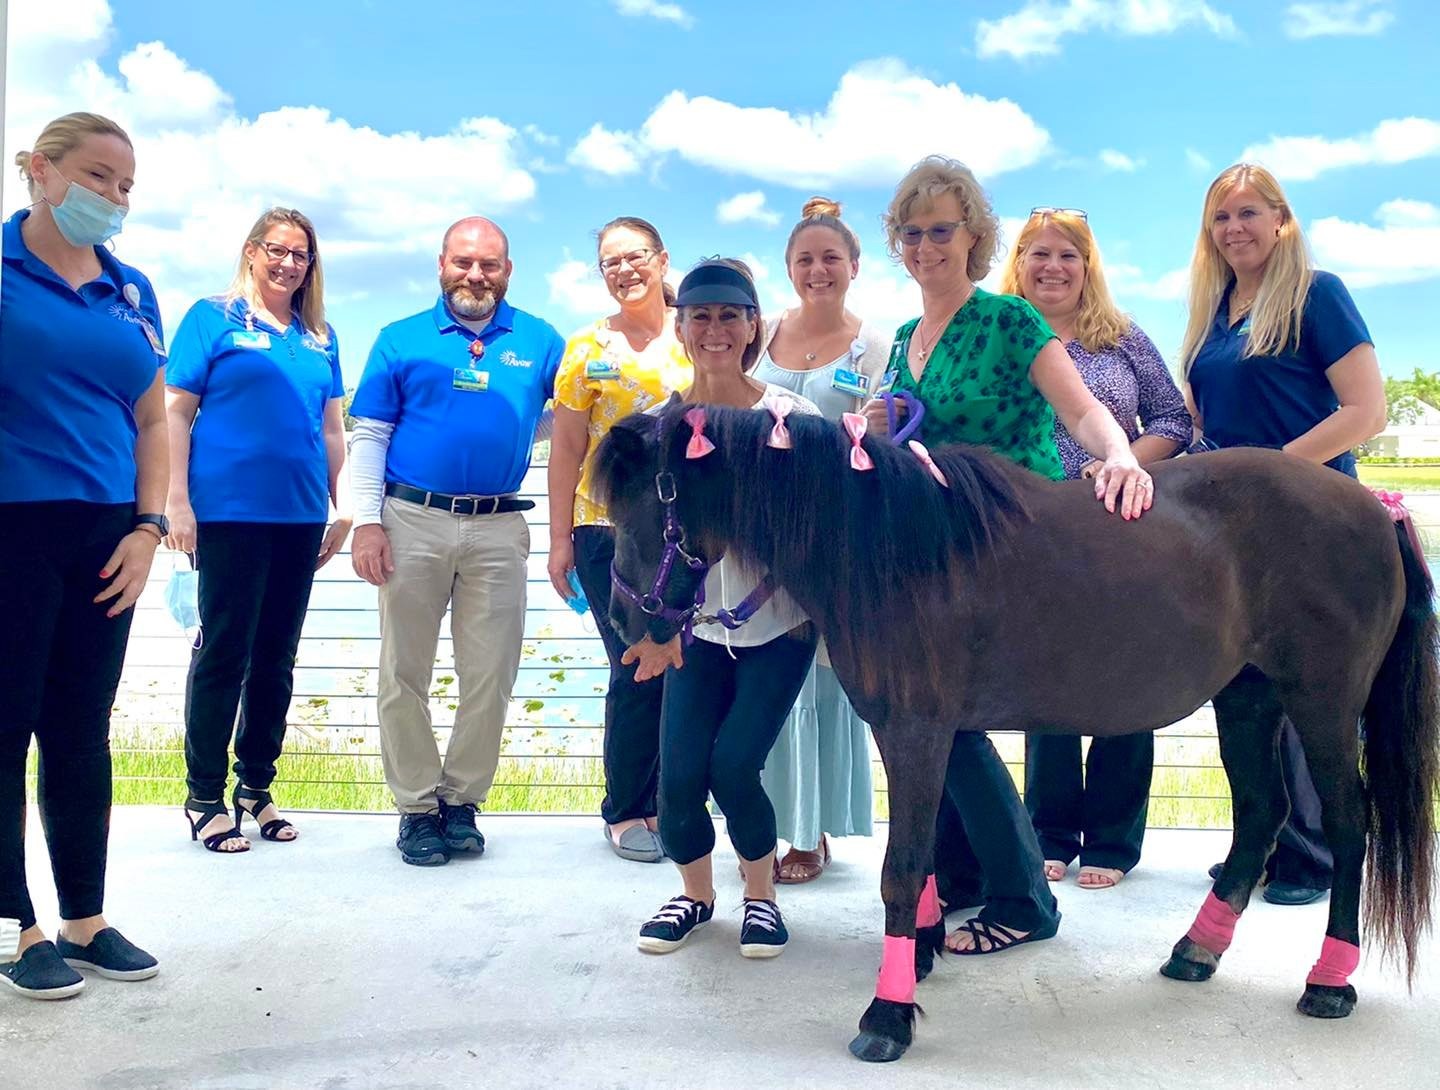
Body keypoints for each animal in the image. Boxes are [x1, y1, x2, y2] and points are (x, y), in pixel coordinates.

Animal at [590, 397, 1434, 1065]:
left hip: (1323, 702)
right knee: (1260, 815)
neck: (893, 549)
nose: (629, 621)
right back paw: (1198, 949)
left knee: (1350, 824)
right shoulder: (918, 734)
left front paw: (887, 1016)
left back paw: (1330, 979)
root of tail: (1378, 509)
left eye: (641, 507)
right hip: (1248, 699)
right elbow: (924, 856)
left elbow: (902, 869)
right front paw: (920, 956)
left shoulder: (919, 730)